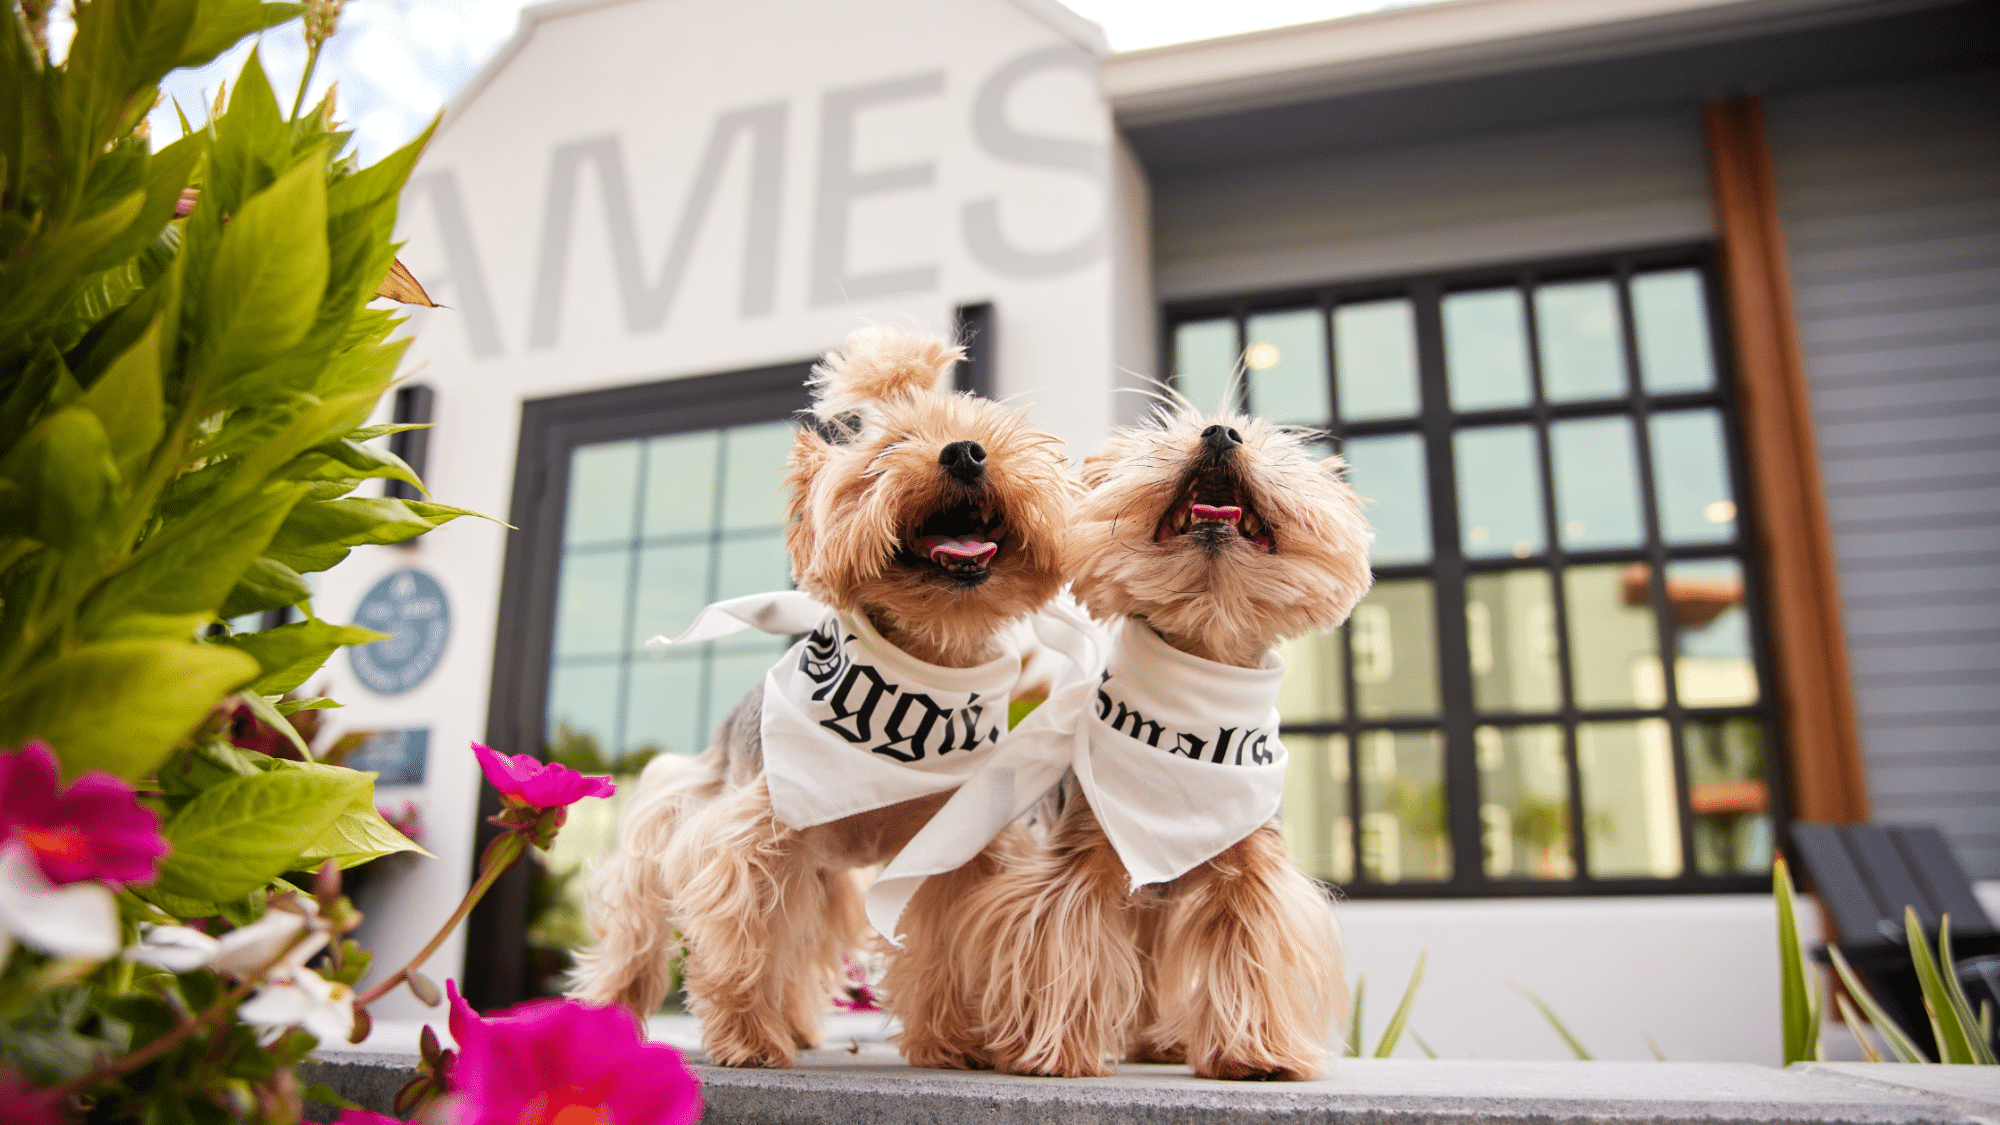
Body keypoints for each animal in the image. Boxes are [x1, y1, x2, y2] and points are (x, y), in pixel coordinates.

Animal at [572, 328, 1072, 1064]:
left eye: (990, 436)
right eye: (888, 448)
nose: (965, 452)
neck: (931, 651)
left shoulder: (957, 839)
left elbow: (947, 939)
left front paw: (954, 1041)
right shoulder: (753, 838)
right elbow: (746, 937)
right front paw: (748, 1039)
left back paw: (801, 1027)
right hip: (677, 817)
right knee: (640, 929)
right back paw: (612, 1015)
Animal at [924, 402, 1368, 1080]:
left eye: (1257, 437)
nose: (1220, 433)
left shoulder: (1251, 864)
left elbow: (1249, 942)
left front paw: (1254, 1052)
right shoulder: (1081, 854)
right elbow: (1061, 936)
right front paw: (1053, 1052)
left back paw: (1162, 1043)